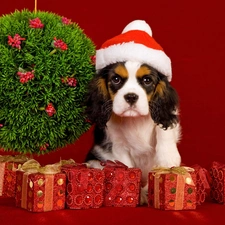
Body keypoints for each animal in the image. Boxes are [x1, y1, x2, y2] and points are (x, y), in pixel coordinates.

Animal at [84, 20, 181, 205]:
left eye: (147, 80)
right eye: (116, 79)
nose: (130, 97)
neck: (135, 120)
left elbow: (163, 131)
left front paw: (168, 157)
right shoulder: (118, 146)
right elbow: (126, 166)